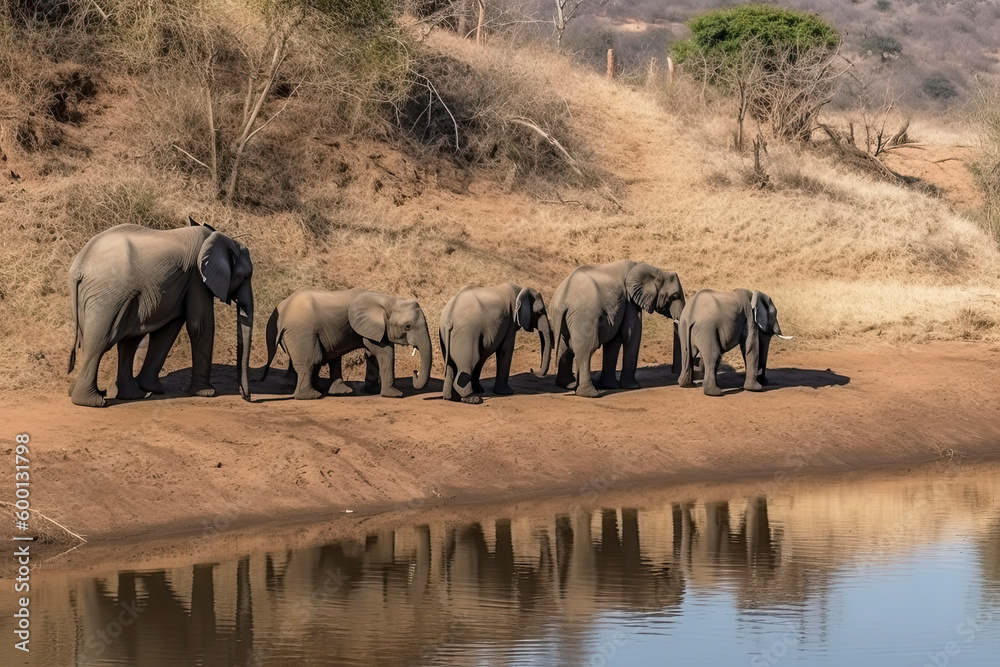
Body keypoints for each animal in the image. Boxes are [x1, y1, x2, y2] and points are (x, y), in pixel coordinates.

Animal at [68, 217, 254, 407]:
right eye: (246, 276)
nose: (247, 397)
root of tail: (79, 265)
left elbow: (170, 327)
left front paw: (153, 389)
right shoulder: (197, 276)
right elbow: (199, 325)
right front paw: (207, 392)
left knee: (121, 339)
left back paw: (125, 394)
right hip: (108, 295)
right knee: (101, 341)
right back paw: (93, 401)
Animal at [260, 288, 432, 399]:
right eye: (408, 326)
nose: (415, 371)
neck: (389, 300)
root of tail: (280, 314)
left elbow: (372, 353)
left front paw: (373, 391)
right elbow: (384, 352)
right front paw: (394, 395)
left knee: (328, 357)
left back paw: (335, 391)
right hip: (301, 332)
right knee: (312, 359)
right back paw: (312, 396)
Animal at [550, 259, 685, 397]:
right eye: (674, 296)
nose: (674, 371)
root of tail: (563, 300)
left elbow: (614, 340)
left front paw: (609, 385)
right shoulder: (630, 300)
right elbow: (630, 334)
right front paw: (633, 387)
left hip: (560, 317)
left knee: (565, 348)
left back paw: (569, 385)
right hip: (584, 316)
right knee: (586, 349)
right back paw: (591, 394)